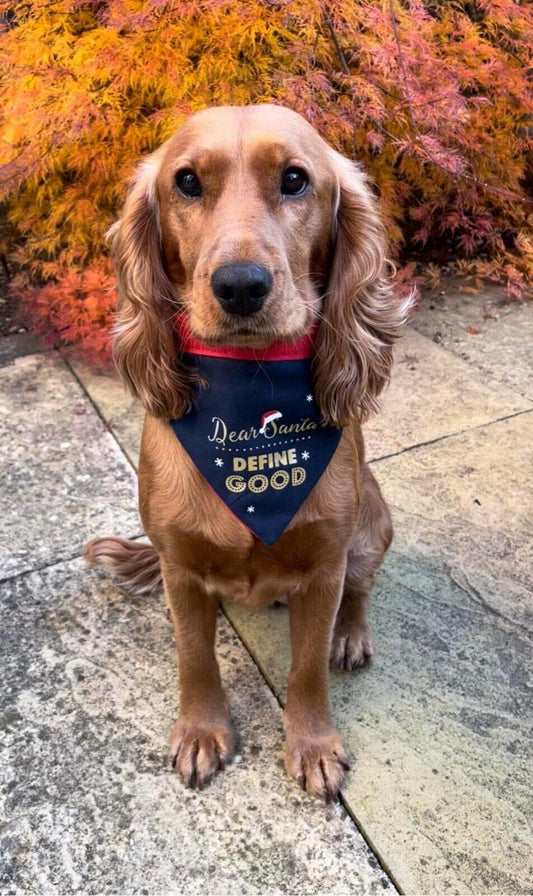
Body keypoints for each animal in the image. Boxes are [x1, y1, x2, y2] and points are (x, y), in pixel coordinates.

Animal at [86, 105, 412, 800]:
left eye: (294, 179)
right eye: (186, 182)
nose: (240, 285)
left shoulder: (325, 566)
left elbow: (307, 667)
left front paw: (313, 745)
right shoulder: (181, 569)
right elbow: (194, 657)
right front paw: (201, 731)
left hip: (374, 523)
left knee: (361, 590)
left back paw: (351, 635)